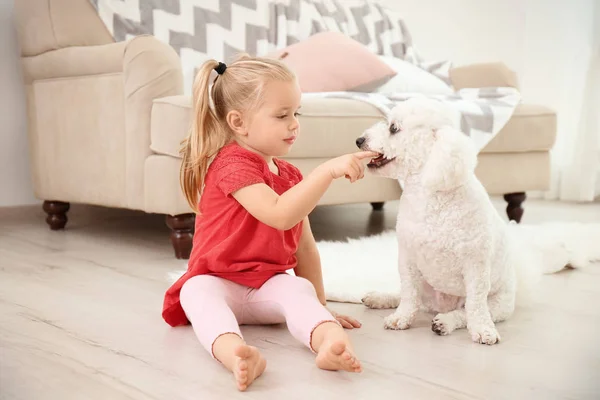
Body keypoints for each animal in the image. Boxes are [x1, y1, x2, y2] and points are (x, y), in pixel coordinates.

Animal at [354, 97, 596, 344]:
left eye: (394, 128)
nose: (359, 140)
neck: (431, 193)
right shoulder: (408, 260)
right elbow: (408, 296)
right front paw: (400, 318)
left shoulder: (476, 267)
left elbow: (476, 307)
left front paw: (483, 330)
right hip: (427, 286)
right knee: (412, 297)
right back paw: (379, 298)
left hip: (499, 304)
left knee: (464, 312)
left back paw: (445, 322)